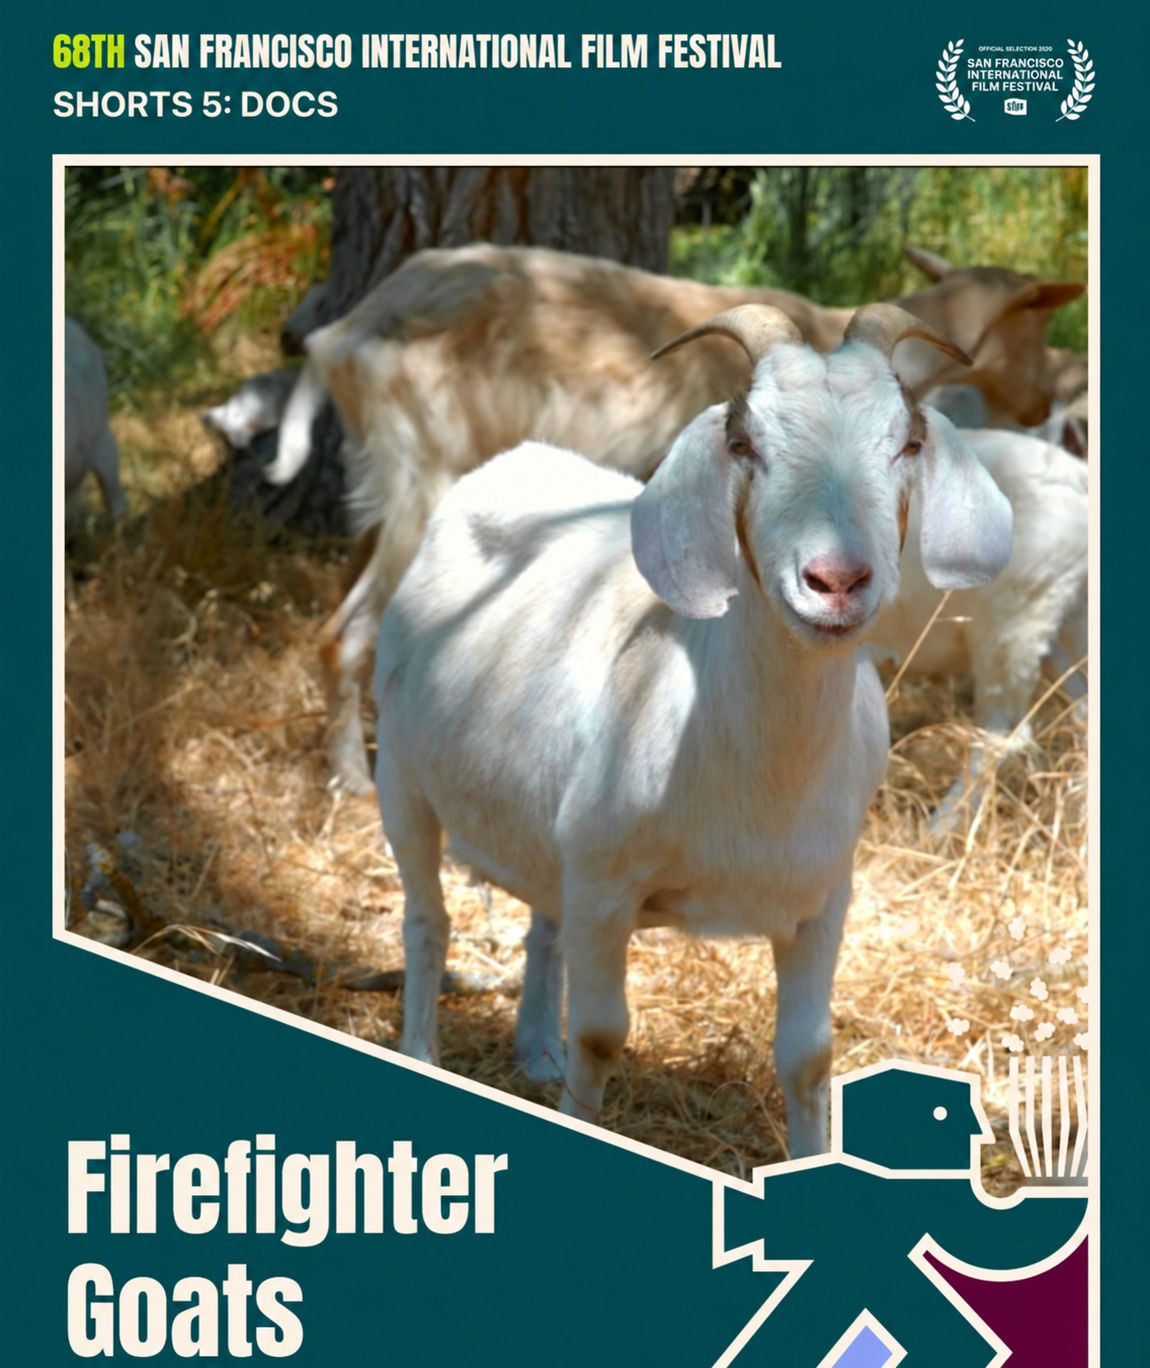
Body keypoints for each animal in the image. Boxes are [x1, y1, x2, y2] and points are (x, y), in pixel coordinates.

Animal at [264, 243, 1080, 794]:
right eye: (1039, 326)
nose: (1044, 402)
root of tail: (344, 334)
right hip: (422, 480)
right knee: (346, 631)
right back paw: (354, 783)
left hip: (386, 487)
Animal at [373, 304, 1013, 1157]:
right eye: (744, 444)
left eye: (907, 443)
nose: (837, 581)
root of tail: (512, 460)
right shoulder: (606, 883)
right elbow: (601, 1035)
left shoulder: (821, 896)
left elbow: (810, 1057)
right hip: (401, 778)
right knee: (426, 920)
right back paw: (423, 1051)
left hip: (548, 824)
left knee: (542, 919)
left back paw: (536, 1050)